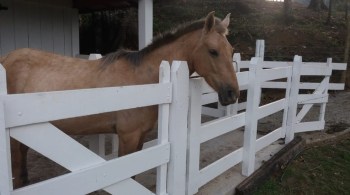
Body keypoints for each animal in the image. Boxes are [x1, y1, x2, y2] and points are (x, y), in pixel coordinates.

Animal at [0, 11, 239, 188]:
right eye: (213, 51)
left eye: (231, 50)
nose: (233, 94)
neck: (143, 80)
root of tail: (6, 58)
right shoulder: (128, 137)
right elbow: (128, 177)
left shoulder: (140, 137)